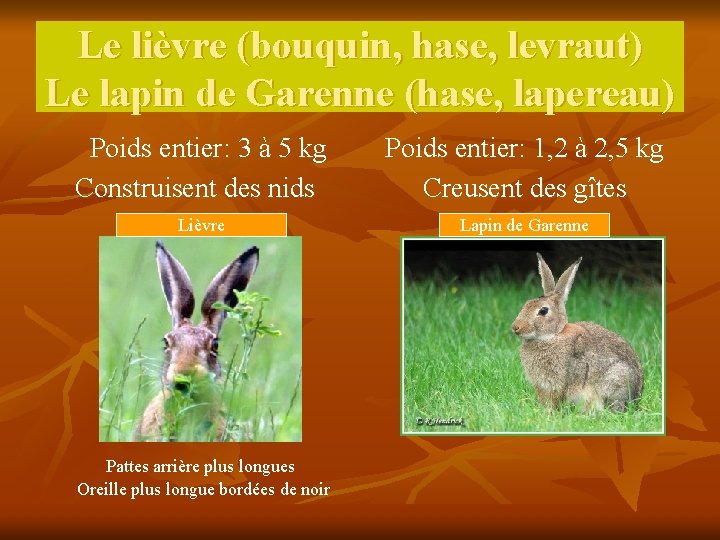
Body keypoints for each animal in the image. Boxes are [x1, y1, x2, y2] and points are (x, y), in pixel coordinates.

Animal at [511, 253, 643, 413]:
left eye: (543, 311)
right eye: (526, 304)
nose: (515, 327)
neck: (553, 336)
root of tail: (636, 398)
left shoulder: (559, 382)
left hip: (616, 380)